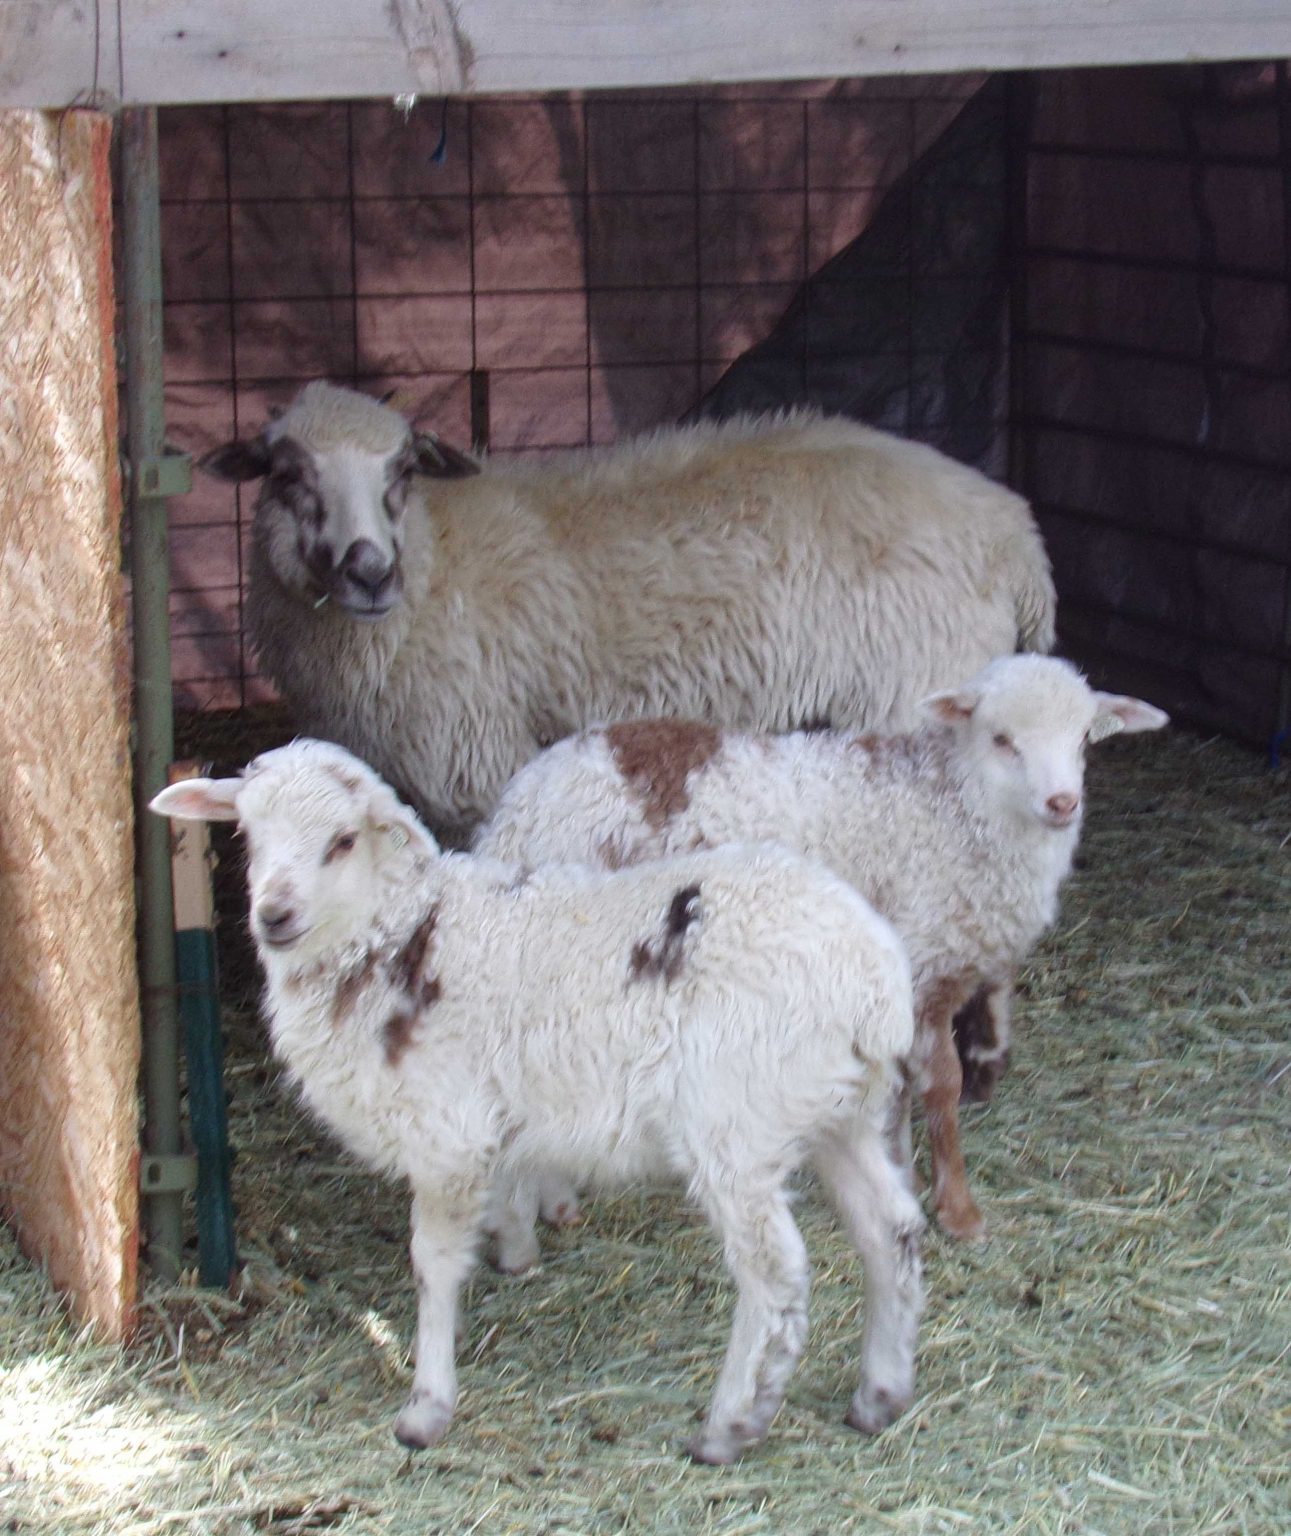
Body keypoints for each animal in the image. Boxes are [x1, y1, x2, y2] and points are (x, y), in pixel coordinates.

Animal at [150, 738, 925, 1464]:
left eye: (341, 840)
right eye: (247, 834)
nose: (273, 916)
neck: (397, 934)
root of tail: (874, 977)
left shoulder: (448, 1134)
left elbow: (433, 1263)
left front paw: (426, 1406)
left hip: (736, 1121)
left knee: (773, 1273)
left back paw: (729, 1424)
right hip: (842, 1113)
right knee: (890, 1231)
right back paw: (878, 1394)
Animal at [200, 381, 1056, 845]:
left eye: (403, 471)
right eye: (285, 474)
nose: (371, 572)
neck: (436, 556)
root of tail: (1013, 528)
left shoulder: (478, 764)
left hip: (912, 692)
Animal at [476, 655, 1169, 1242]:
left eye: (1083, 739)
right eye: (1002, 738)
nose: (1062, 802)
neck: (952, 806)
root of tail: (517, 804)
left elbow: (898, 1089)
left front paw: (901, 1171)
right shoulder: (925, 962)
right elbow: (940, 1088)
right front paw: (959, 1210)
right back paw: (553, 1202)